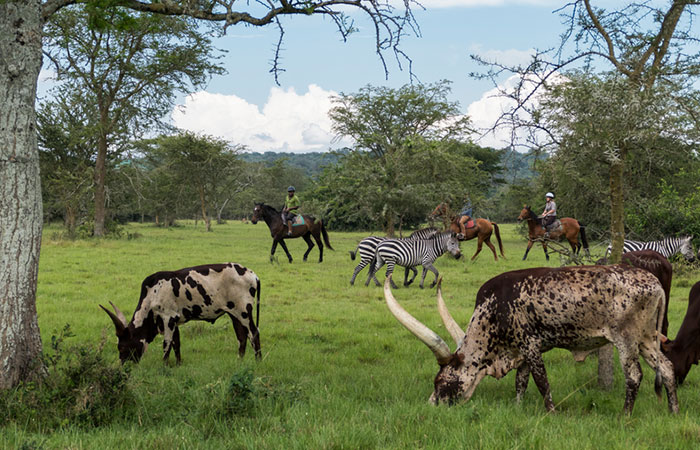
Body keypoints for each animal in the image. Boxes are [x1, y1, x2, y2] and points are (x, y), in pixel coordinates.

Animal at [100, 262, 260, 364]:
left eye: (122, 347)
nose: (123, 365)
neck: (152, 295)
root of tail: (253, 275)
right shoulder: (175, 321)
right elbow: (176, 344)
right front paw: (178, 364)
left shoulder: (168, 318)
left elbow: (167, 344)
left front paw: (164, 365)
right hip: (234, 314)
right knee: (242, 337)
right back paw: (239, 361)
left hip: (244, 312)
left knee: (253, 333)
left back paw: (258, 361)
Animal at [382, 264, 680, 414]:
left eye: (442, 382)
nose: (432, 405)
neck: (492, 311)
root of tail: (655, 283)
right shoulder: (521, 352)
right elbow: (521, 382)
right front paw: (517, 408)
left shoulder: (531, 346)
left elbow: (541, 382)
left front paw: (551, 412)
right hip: (647, 338)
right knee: (666, 368)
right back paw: (673, 410)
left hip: (626, 339)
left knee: (634, 375)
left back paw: (625, 415)